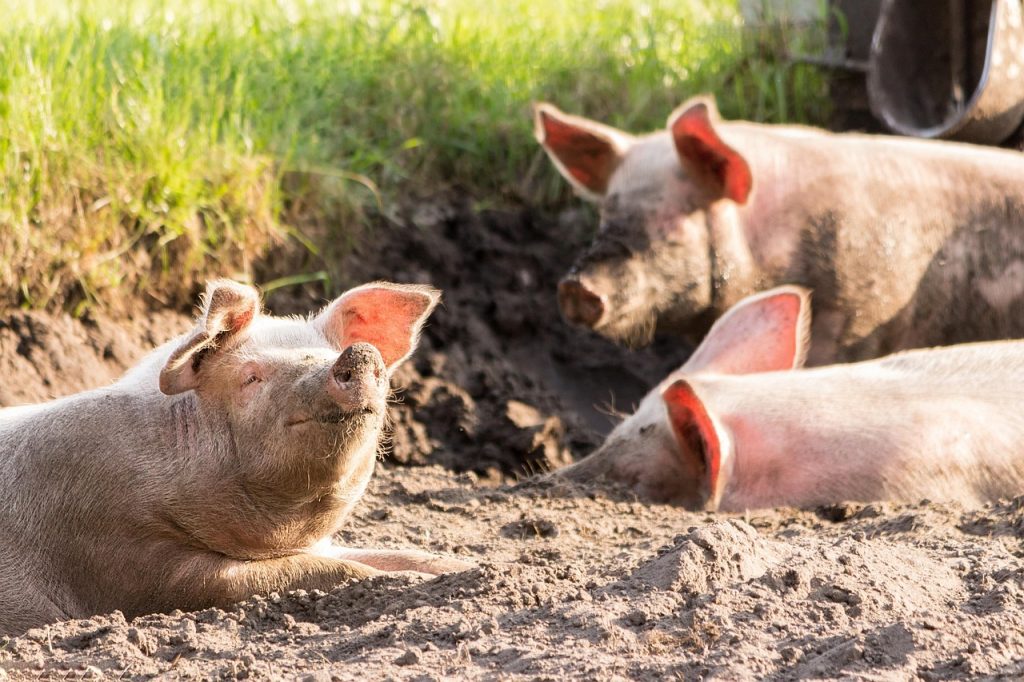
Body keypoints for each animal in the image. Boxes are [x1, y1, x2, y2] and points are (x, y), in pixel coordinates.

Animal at [0, 280, 470, 636]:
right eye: (251, 377)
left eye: (326, 353)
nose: (359, 352)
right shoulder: (125, 558)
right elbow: (318, 571)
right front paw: (409, 581)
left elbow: (395, 555)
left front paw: (466, 568)